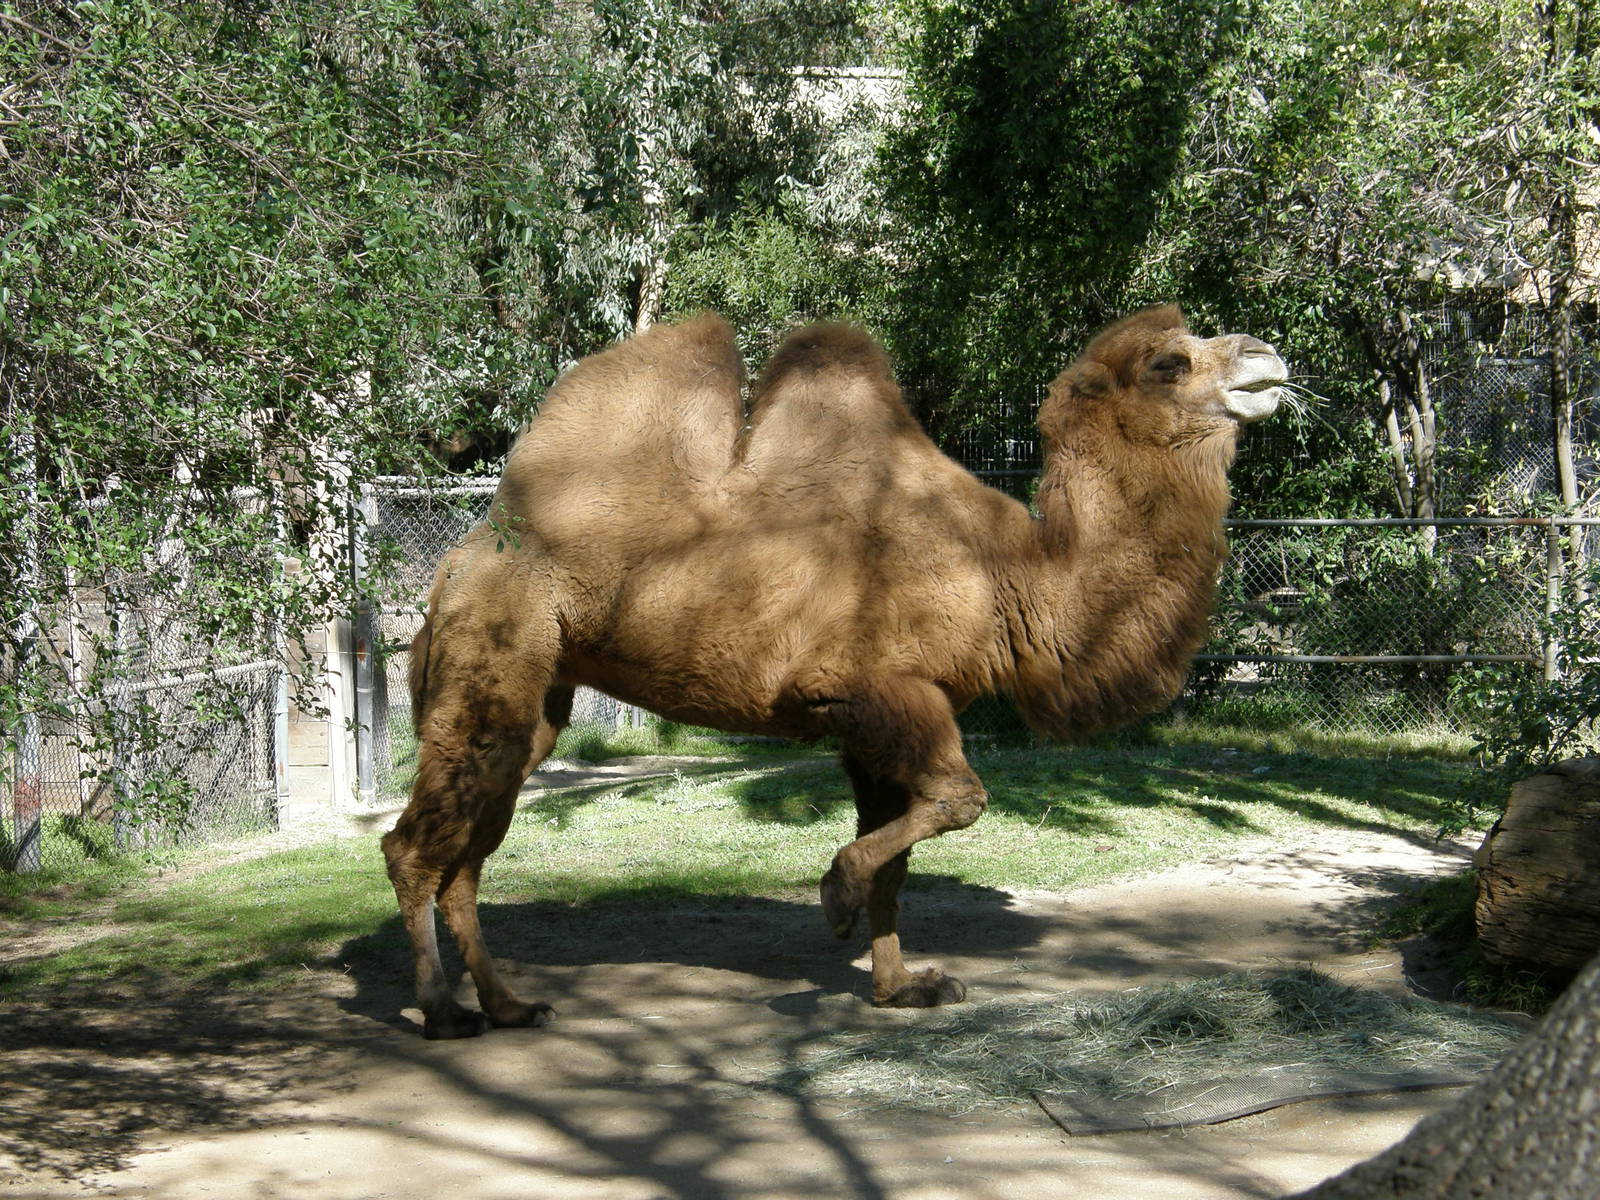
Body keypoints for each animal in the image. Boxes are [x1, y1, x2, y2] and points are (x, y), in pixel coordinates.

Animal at [382, 305, 1287, 1038]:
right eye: (1170, 362)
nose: (1267, 355)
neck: (1008, 573)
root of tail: (459, 559)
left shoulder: (878, 717)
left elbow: (901, 855)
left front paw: (902, 987)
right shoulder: (874, 689)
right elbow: (958, 800)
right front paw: (834, 896)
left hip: (537, 697)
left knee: (468, 854)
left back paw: (508, 1005)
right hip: (493, 651)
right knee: (413, 847)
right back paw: (441, 1013)